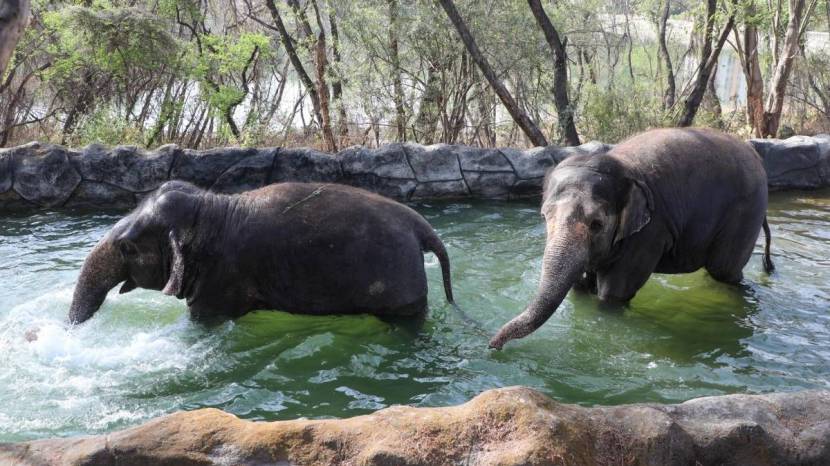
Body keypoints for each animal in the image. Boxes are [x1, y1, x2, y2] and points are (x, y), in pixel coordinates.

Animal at [490, 127, 776, 350]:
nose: (493, 345)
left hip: (746, 212)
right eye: (544, 217)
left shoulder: (651, 231)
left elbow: (613, 293)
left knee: (724, 270)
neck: (618, 165)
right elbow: (580, 286)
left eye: (597, 224)